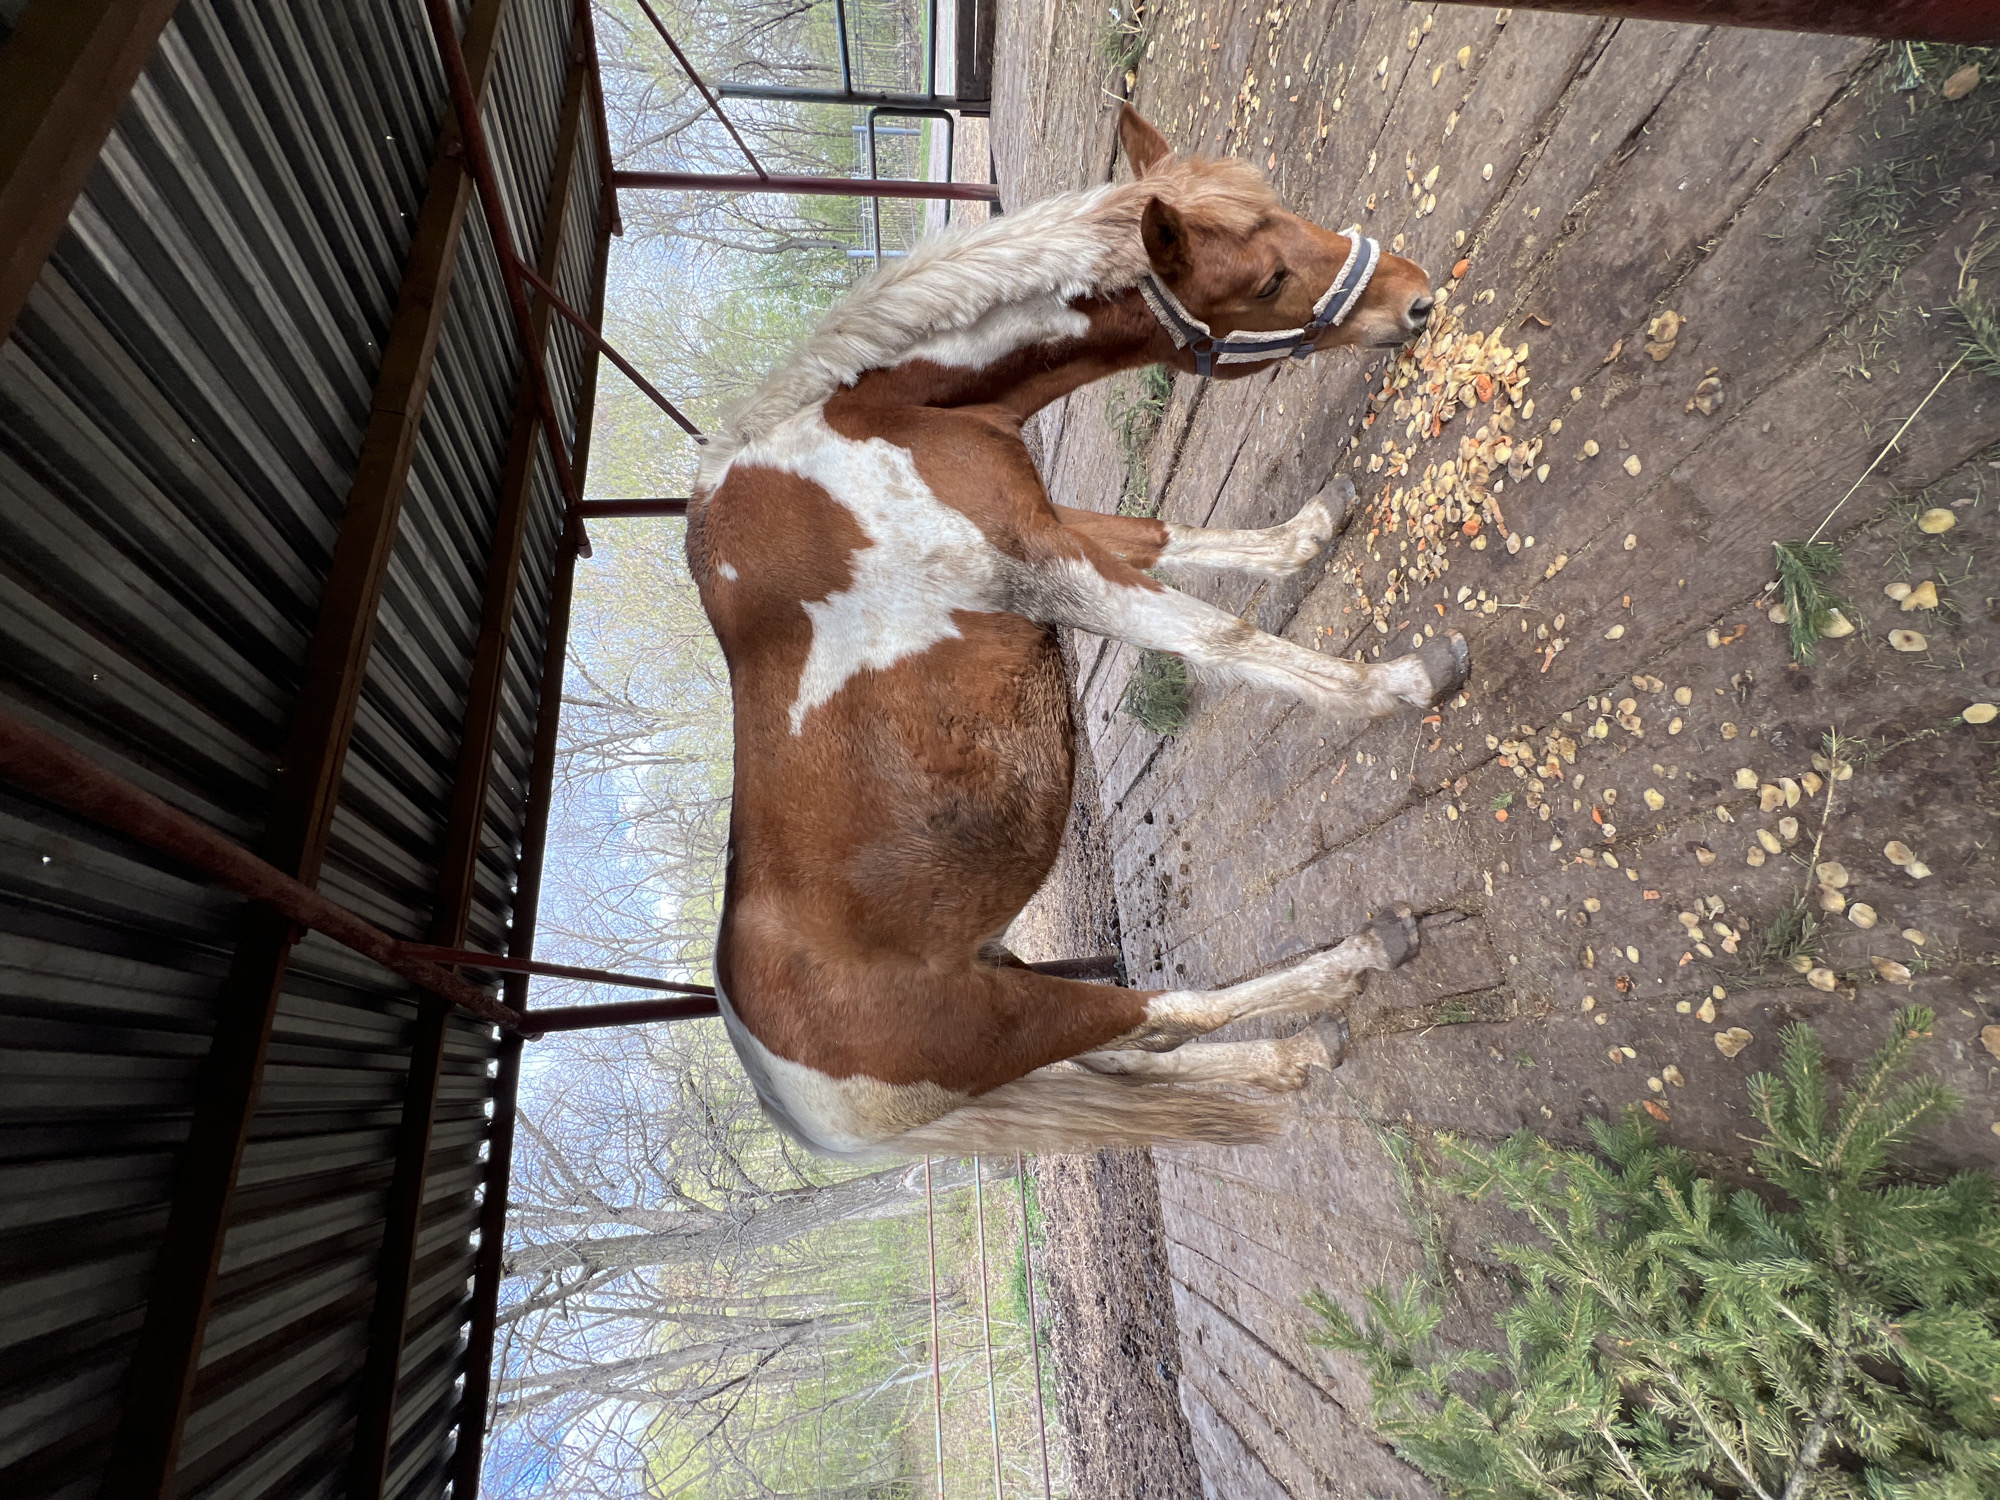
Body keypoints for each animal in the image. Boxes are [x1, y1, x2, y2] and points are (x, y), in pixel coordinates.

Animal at [685, 106, 1467, 1157]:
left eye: (1288, 214)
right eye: (1265, 281)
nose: (1417, 302)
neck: (878, 428)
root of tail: (790, 1101)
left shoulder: (1051, 521)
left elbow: (1167, 536)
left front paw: (1313, 527)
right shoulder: (1045, 567)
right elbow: (1218, 637)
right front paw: (1406, 681)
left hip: (1012, 987)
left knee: (1133, 1060)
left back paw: (1294, 1056)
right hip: (1012, 1020)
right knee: (1164, 1016)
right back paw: (1354, 966)